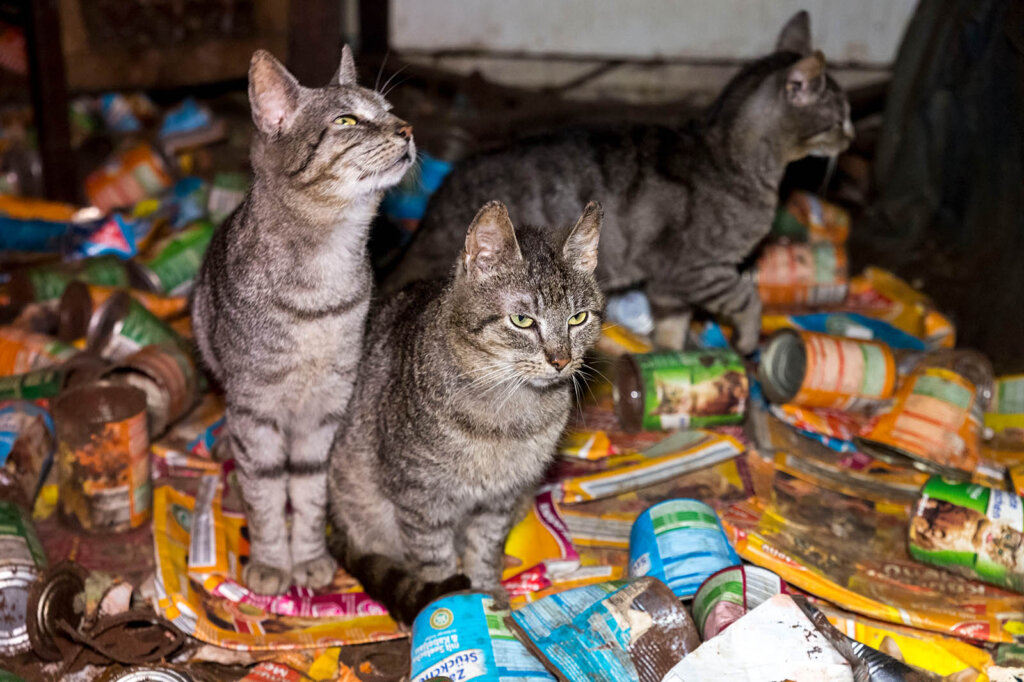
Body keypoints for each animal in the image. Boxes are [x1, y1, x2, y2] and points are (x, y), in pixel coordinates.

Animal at [192, 47, 415, 593]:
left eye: (389, 109)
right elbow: (267, 496)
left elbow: (310, 494)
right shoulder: (255, 411)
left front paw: (310, 555)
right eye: (347, 120)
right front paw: (273, 561)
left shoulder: (325, 410)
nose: (407, 129)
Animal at [327, 197, 602, 622]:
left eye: (578, 318)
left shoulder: (499, 501)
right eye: (522, 320)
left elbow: (484, 549)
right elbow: (433, 559)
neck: (507, 417)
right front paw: (448, 604)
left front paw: (488, 594)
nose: (560, 360)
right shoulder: (421, 498)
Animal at [387, 10, 851, 352]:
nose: (851, 136)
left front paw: (672, 361)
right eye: (839, 118)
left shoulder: (668, 286)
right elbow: (749, 299)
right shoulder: (699, 271)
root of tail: (435, 206)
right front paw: (750, 342)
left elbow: (671, 327)